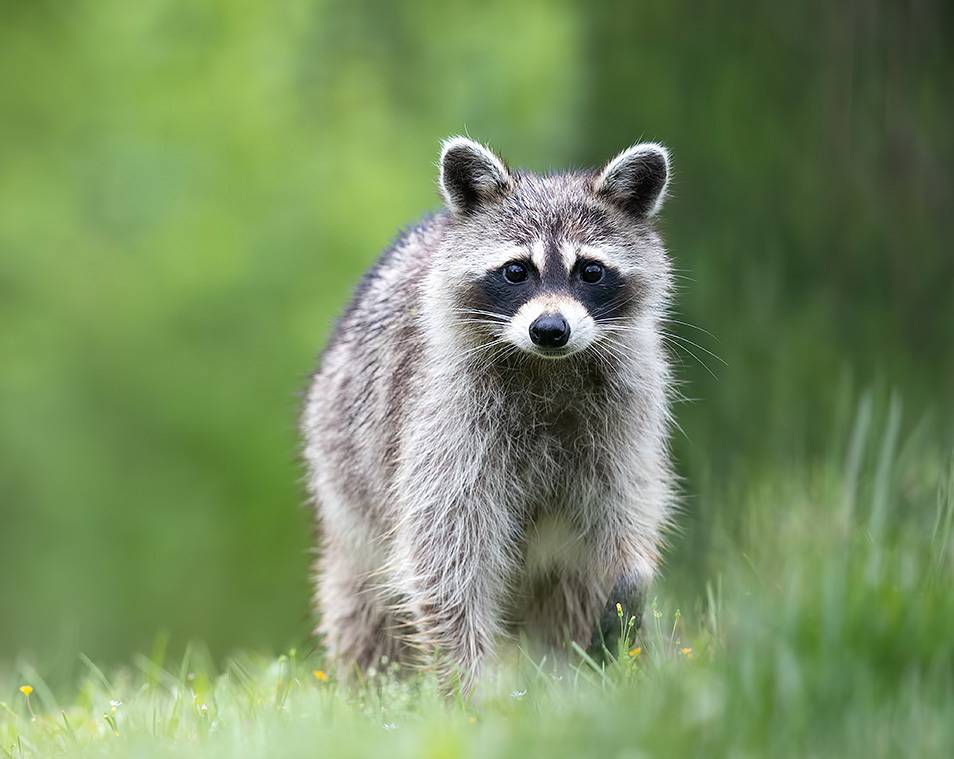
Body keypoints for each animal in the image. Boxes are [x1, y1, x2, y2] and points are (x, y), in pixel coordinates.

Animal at [302, 137, 676, 690]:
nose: (550, 330)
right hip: (346, 484)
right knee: (363, 604)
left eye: (590, 270)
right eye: (516, 270)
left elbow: (622, 517)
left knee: (570, 593)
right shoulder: (443, 412)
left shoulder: (626, 412)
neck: (547, 366)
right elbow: (445, 553)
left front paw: (630, 581)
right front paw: (468, 687)